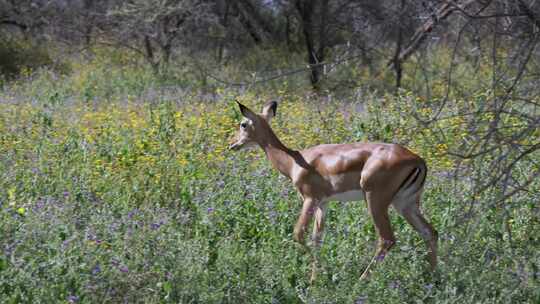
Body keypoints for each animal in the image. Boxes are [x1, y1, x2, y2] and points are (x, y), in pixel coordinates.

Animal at [229, 101, 438, 282]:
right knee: (430, 232)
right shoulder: (324, 203)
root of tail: (418, 160)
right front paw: (314, 280)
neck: (295, 161)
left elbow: (299, 234)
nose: (233, 145)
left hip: (376, 201)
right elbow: (317, 239)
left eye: (243, 124)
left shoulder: (310, 199)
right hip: (405, 204)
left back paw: (360, 281)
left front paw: (324, 274)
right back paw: (433, 279)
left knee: (387, 239)